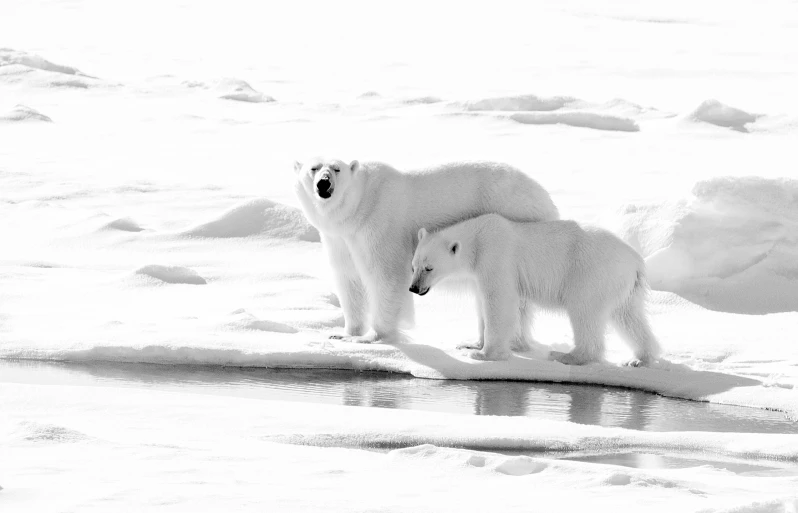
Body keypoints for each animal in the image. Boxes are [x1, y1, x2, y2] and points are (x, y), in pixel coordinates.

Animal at [296, 159, 564, 344]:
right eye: (313, 167)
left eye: (336, 168)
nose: (323, 183)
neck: (360, 207)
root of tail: (546, 198)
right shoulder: (339, 239)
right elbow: (348, 279)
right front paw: (345, 334)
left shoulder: (379, 224)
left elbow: (386, 276)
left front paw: (373, 336)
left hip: (516, 219)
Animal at [412, 213, 664, 364]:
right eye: (413, 266)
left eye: (429, 268)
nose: (414, 288)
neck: (478, 238)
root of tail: (636, 261)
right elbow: (483, 303)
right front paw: (471, 343)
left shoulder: (496, 257)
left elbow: (499, 301)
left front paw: (483, 354)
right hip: (623, 285)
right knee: (628, 316)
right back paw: (640, 358)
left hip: (593, 274)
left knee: (584, 311)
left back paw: (568, 356)